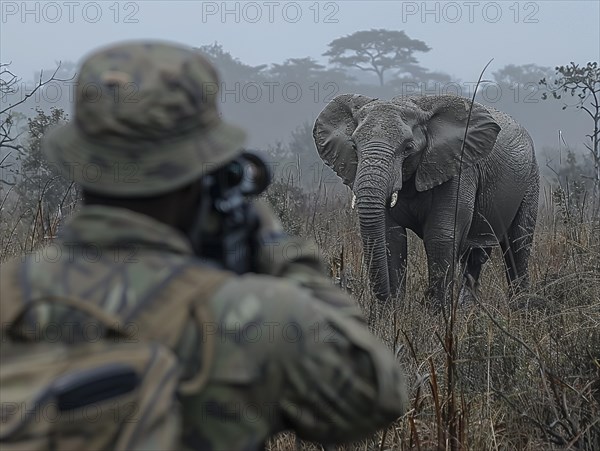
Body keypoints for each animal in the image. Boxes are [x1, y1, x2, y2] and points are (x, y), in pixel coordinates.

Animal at [314, 93, 540, 308]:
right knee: (475, 256)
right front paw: (393, 314)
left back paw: (519, 309)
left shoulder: (457, 168)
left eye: (408, 148)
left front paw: (435, 314)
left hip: (531, 178)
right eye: (354, 146)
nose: (385, 300)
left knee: (518, 245)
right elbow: (391, 237)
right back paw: (469, 310)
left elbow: (441, 235)